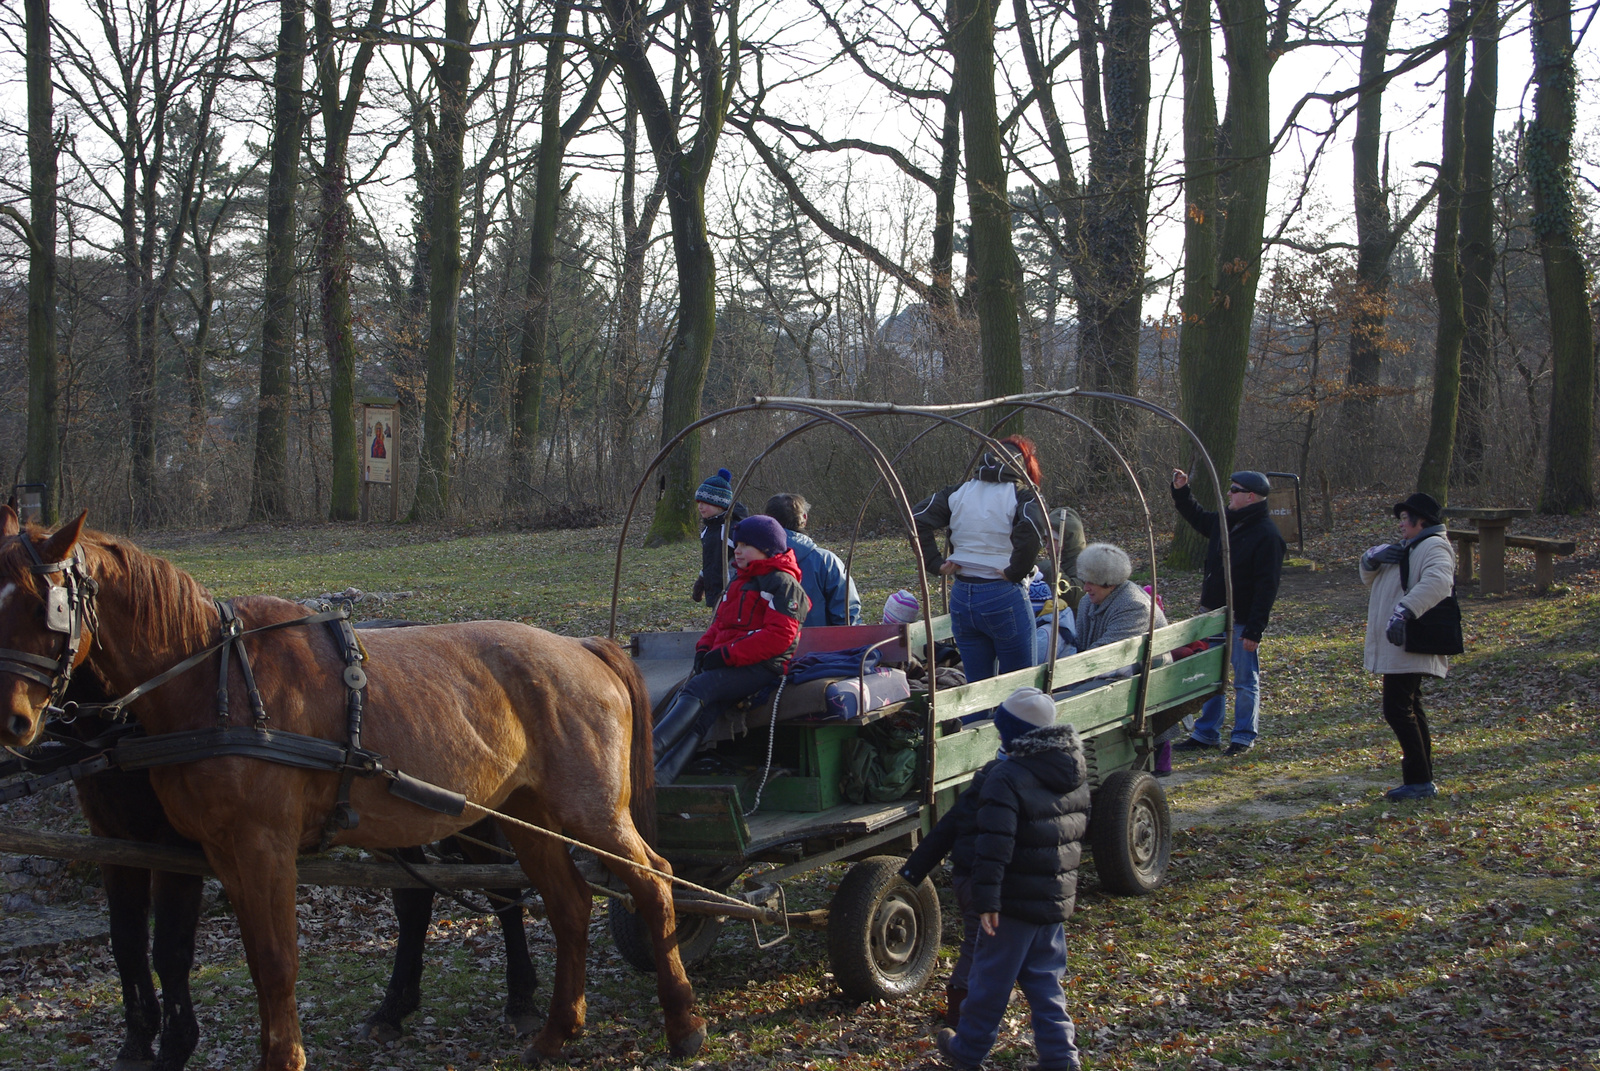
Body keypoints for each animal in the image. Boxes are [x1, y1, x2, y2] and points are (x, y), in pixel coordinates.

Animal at [0, 512, 704, 1069]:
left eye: (45, 606)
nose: (14, 722)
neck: (216, 680)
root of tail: (581, 647)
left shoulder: (257, 849)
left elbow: (273, 961)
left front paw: (279, 1058)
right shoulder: (211, 851)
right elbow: (235, 957)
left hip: (590, 812)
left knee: (653, 882)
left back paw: (682, 1023)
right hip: (523, 816)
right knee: (568, 904)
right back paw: (557, 1031)